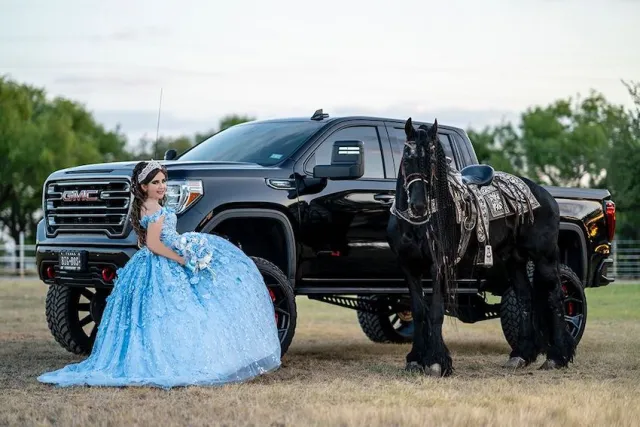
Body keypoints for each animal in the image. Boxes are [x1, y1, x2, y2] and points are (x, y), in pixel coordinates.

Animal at [388, 118, 576, 378]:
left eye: (433, 162)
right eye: (407, 157)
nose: (418, 205)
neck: (417, 225)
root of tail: (545, 195)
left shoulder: (439, 266)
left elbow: (435, 312)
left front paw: (436, 362)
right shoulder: (409, 268)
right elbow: (418, 311)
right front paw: (415, 359)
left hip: (544, 257)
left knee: (555, 296)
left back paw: (556, 357)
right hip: (513, 260)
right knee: (525, 297)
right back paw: (520, 355)